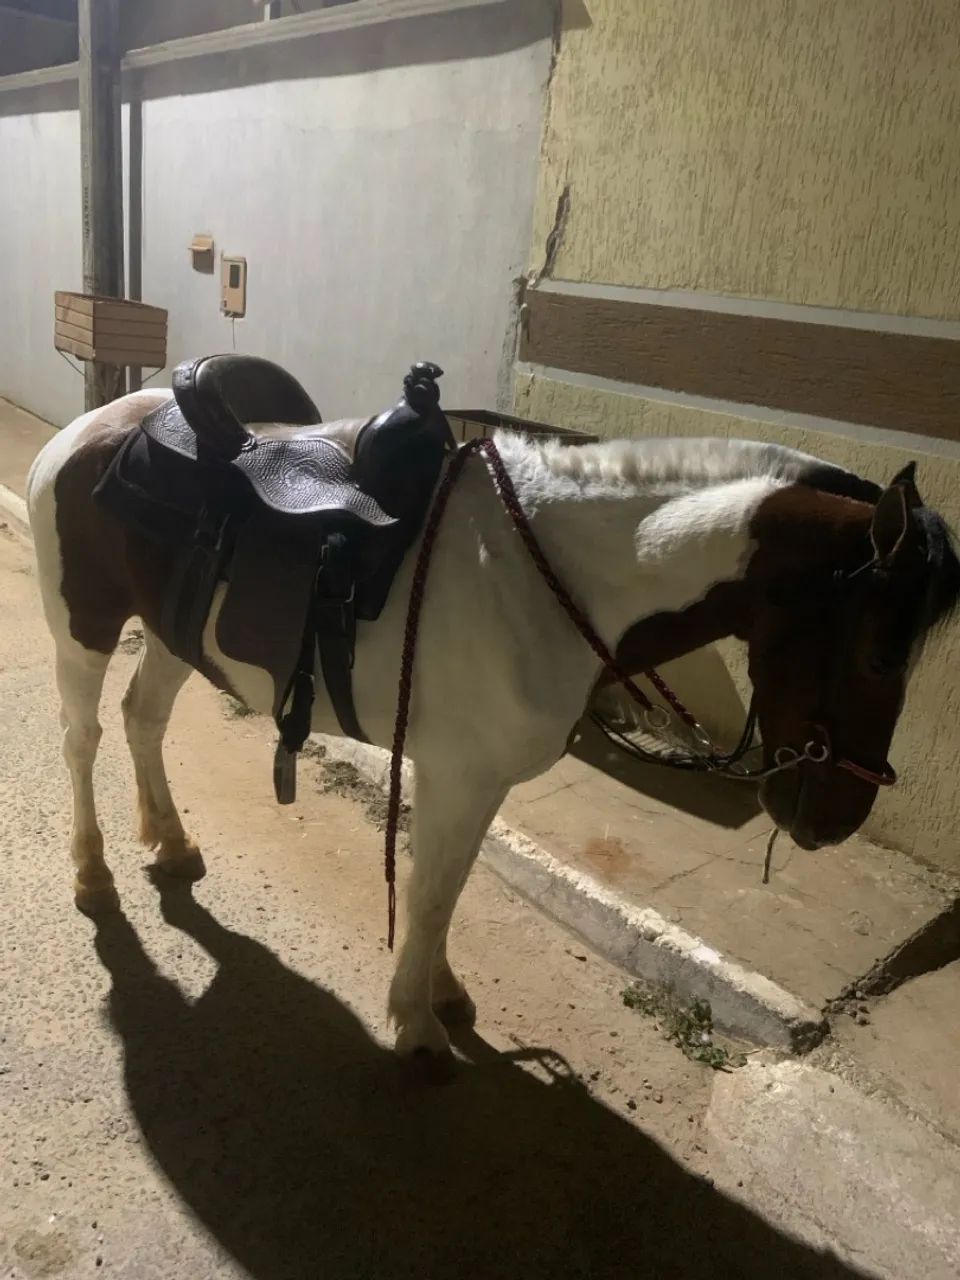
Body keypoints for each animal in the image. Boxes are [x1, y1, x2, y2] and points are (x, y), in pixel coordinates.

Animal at [27, 389, 960, 1061]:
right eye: (881, 653)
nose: (836, 818)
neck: (538, 571)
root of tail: (90, 429)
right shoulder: (457, 775)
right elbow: (432, 888)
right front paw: (414, 1024)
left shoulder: (478, 780)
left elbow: (449, 886)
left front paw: (437, 992)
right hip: (83, 628)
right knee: (83, 739)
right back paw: (93, 873)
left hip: (176, 633)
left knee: (143, 720)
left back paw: (170, 840)